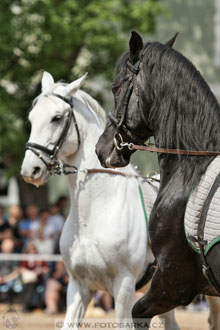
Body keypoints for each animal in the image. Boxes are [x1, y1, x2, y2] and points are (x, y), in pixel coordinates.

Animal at [20, 73, 218, 330]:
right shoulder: (78, 287)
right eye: (32, 118)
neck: (94, 214)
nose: (30, 170)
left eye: (57, 118)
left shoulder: (124, 286)